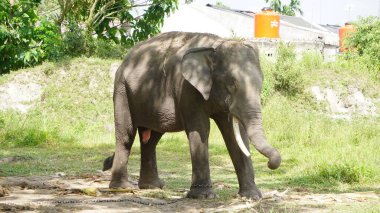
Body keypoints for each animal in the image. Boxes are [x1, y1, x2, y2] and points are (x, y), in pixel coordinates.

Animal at [102, 31, 280, 200]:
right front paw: (204, 196)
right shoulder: (187, 88)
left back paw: (152, 186)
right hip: (122, 91)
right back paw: (122, 188)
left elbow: (234, 134)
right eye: (232, 84)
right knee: (126, 134)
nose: (271, 163)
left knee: (152, 139)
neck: (215, 45)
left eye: (261, 83)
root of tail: (125, 60)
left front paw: (252, 196)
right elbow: (201, 129)